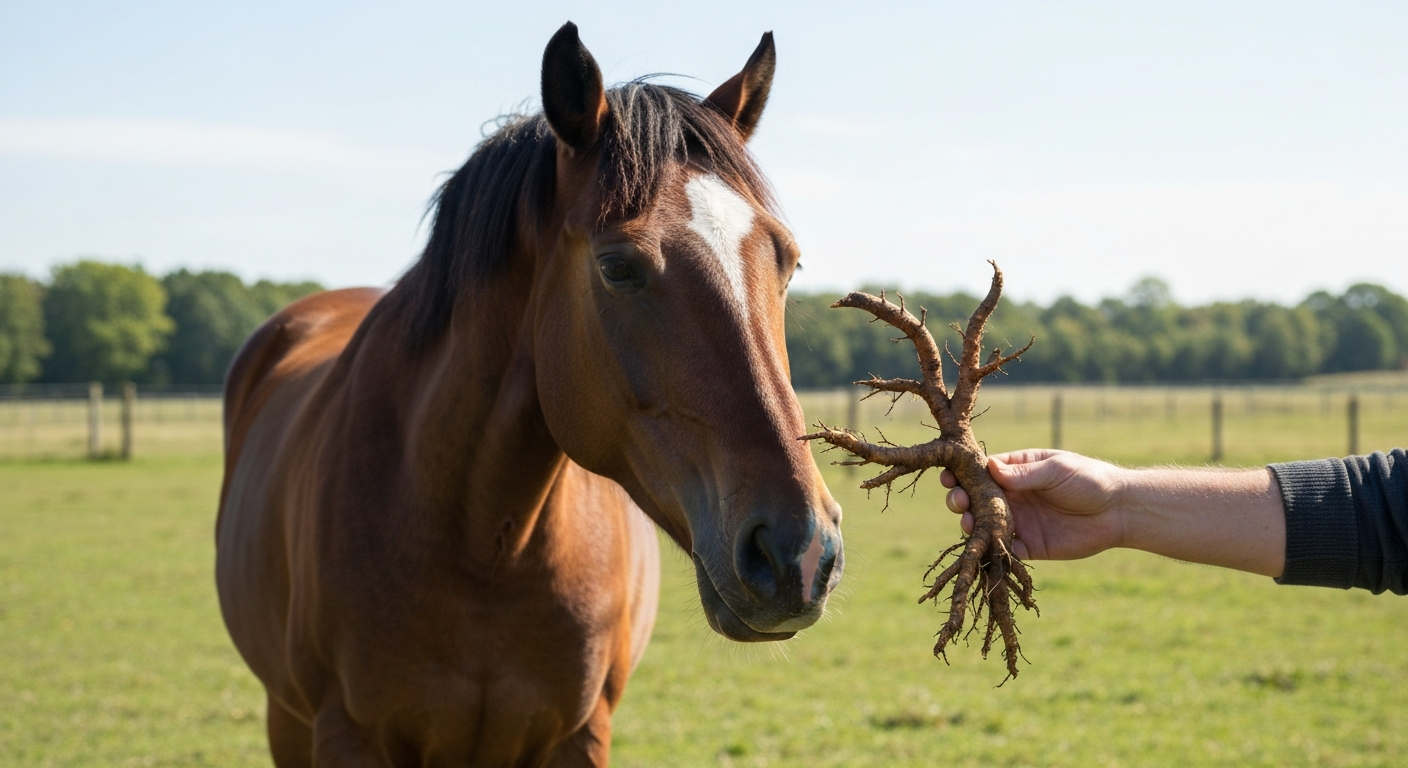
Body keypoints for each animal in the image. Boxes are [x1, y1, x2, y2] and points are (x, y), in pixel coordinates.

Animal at [216, 23, 843, 766]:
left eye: (787, 260)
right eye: (616, 266)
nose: (798, 552)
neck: (487, 548)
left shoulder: (580, 735)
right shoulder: (347, 735)